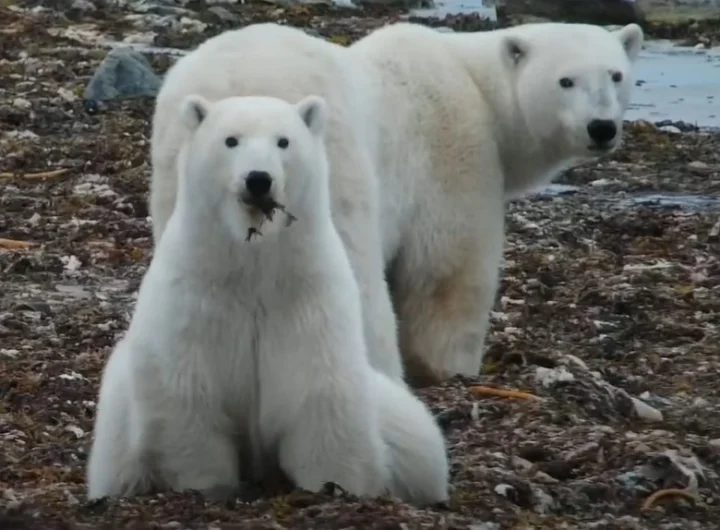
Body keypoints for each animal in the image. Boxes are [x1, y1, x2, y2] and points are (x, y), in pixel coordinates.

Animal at [86, 94, 449, 506]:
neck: (254, 266)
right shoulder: (194, 303)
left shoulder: (307, 301)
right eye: (231, 140)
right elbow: (190, 397)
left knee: (417, 435)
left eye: (283, 141)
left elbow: (320, 395)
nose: (258, 179)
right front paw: (207, 486)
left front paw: (334, 486)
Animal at [148, 21, 644, 386]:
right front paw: (450, 369)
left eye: (616, 75)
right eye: (566, 80)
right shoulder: (455, 158)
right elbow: (447, 273)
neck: (475, 84)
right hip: (331, 160)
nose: (602, 127)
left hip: (182, 167)